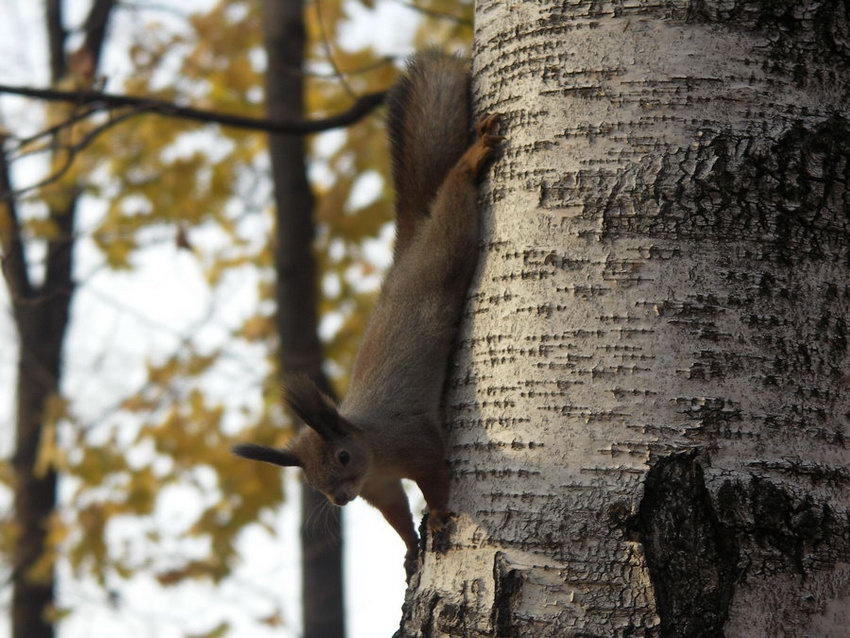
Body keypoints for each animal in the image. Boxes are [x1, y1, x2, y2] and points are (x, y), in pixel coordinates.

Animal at [233, 51, 502, 571]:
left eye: (340, 457)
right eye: (307, 479)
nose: (339, 500)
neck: (374, 455)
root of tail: (407, 254)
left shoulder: (415, 445)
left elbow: (437, 480)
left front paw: (439, 516)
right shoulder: (380, 489)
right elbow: (396, 514)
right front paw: (411, 547)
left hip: (446, 251)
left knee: (455, 206)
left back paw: (472, 159)